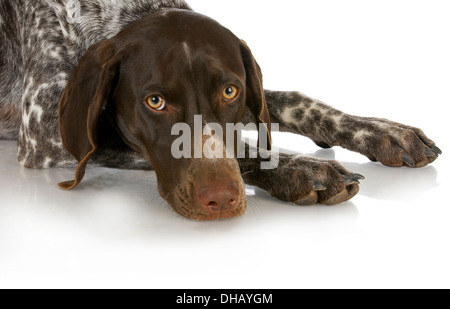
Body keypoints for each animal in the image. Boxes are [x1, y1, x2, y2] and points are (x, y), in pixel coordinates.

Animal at [0, 1, 442, 220]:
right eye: (155, 101)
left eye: (230, 90)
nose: (221, 200)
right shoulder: (43, 132)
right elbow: (245, 148)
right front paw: (300, 168)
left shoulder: (249, 94)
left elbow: (291, 101)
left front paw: (383, 130)